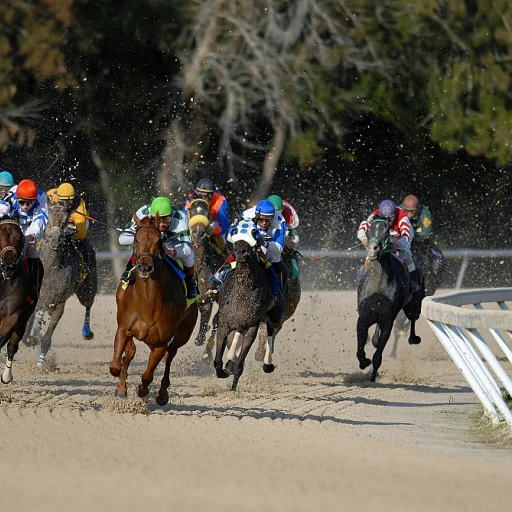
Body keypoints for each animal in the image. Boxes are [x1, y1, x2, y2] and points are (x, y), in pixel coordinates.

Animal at [22, 202, 98, 366]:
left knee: (88, 305)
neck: (50, 270)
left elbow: (47, 339)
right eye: (49, 218)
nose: (55, 239)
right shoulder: (37, 299)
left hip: (87, 290)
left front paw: (41, 364)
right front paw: (31, 338)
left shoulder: (58, 305)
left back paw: (87, 332)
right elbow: (26, 332)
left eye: (65, 220)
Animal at [110, 212, 198, 404]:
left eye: (159, 241)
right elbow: (116, 365)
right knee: (132, 353)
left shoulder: (160, 342)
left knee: (170, 354)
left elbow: (148, 375)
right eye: (136, 238)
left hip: (183, 333)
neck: (148, 302)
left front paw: (143, 390)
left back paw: (163, 393)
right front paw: (121, 387)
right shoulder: (123, 329)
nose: (144, 266)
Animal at [212, 218, 284, 390]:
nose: (240, 252)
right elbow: (217, 360)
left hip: (275, 315)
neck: (242, 291)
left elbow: (240, 363)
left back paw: (268, 364)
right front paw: (224, 371)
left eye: (254, 232)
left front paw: (233, 387)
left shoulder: (252, 326)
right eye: (235, 230)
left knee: (271, 328)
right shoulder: (224, 322)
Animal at [356, 215, 424, 380]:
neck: (378, 285)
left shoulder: (388, 320)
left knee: (413, 318)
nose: (373, 248)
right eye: (369, 229)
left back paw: (413, 338)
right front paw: (364, 362)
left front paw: (372, 376)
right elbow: (360, 347)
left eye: (386, 231)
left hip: (413, 306)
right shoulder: (363, 318)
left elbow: (378, 355)